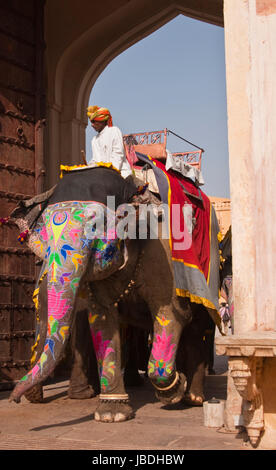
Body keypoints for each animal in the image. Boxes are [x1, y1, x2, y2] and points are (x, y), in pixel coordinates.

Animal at [6, 157, 221, 422]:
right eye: (43, 233)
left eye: (96, 225)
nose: (13, 398)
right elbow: (102, 320)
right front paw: (113, 413)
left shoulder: (163, 251)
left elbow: (170, 314)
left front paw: (173, 391)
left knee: (198, 325)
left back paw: (194, 398)